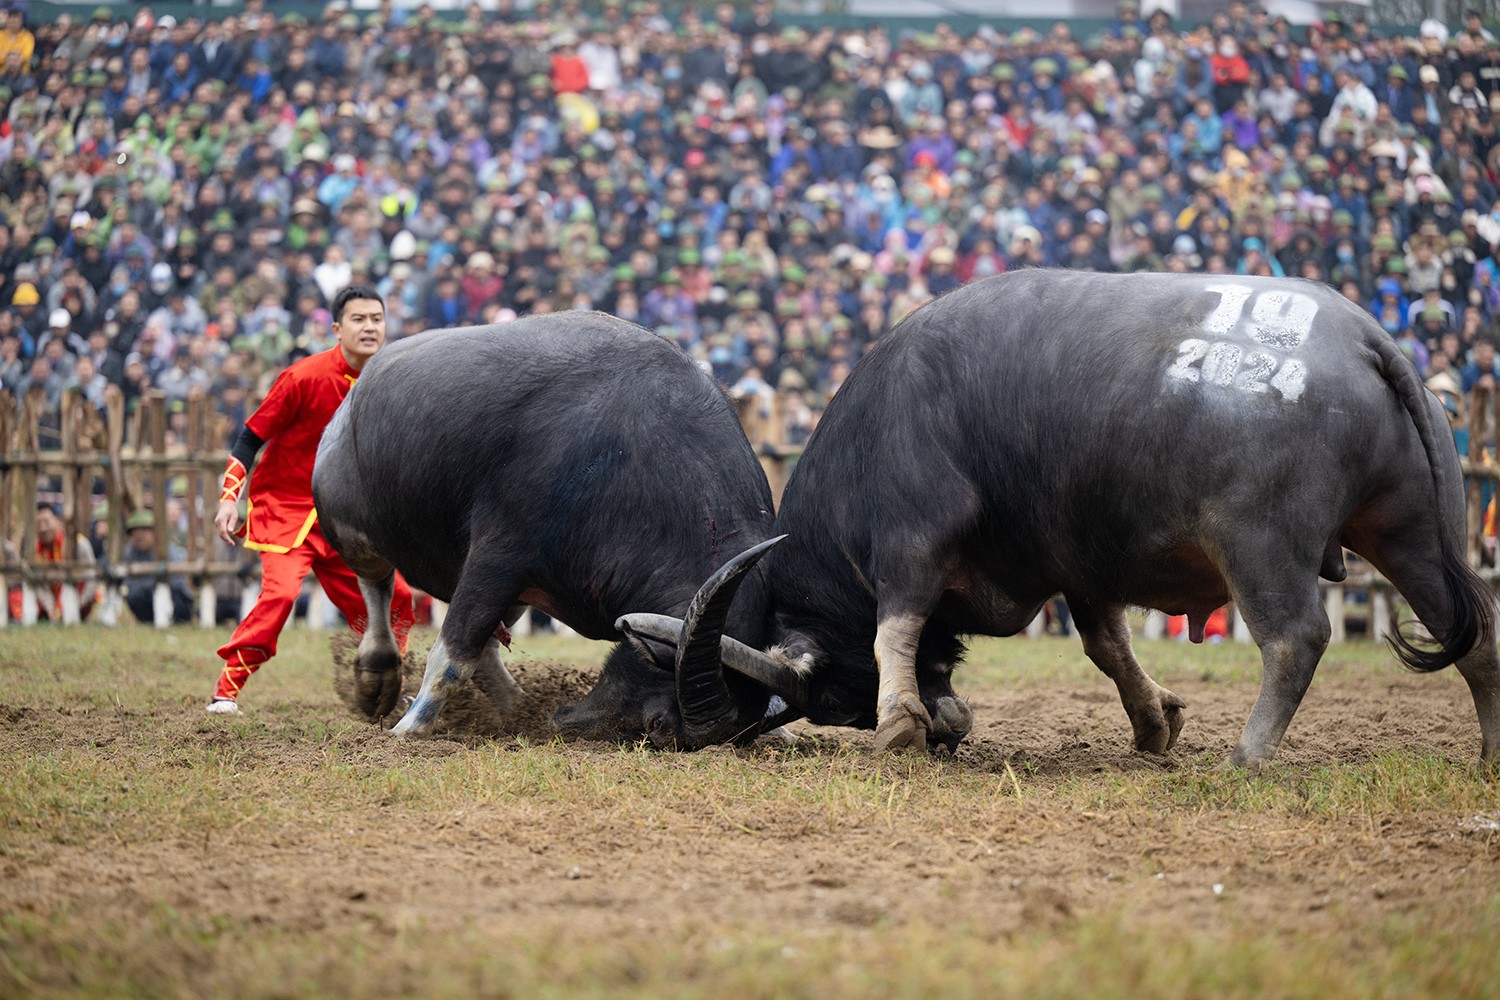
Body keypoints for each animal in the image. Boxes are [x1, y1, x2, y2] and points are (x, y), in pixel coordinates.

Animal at [316, 316, 786, 746]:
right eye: (659, 724)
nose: (566, 722)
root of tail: (356, 392)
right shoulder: (497, 555)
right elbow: (452, 658)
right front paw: (408, 728)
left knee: (488, 646)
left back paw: (515, 708)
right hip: (348, 527)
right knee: (376, 583)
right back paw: (378, 675)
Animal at [597, 269, 1500, 773]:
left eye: (843, 703)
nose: (952, 726)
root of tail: (1363, 337)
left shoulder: (911, 541)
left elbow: (898, 625)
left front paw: (898, 725)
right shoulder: (1081, 565)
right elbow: (1106, 645)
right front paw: (1155, 723)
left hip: (1260, 544)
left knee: (1296, 638)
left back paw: (1247, 756)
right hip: (1414, 533)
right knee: (1475, 631)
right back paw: (1490, 751)